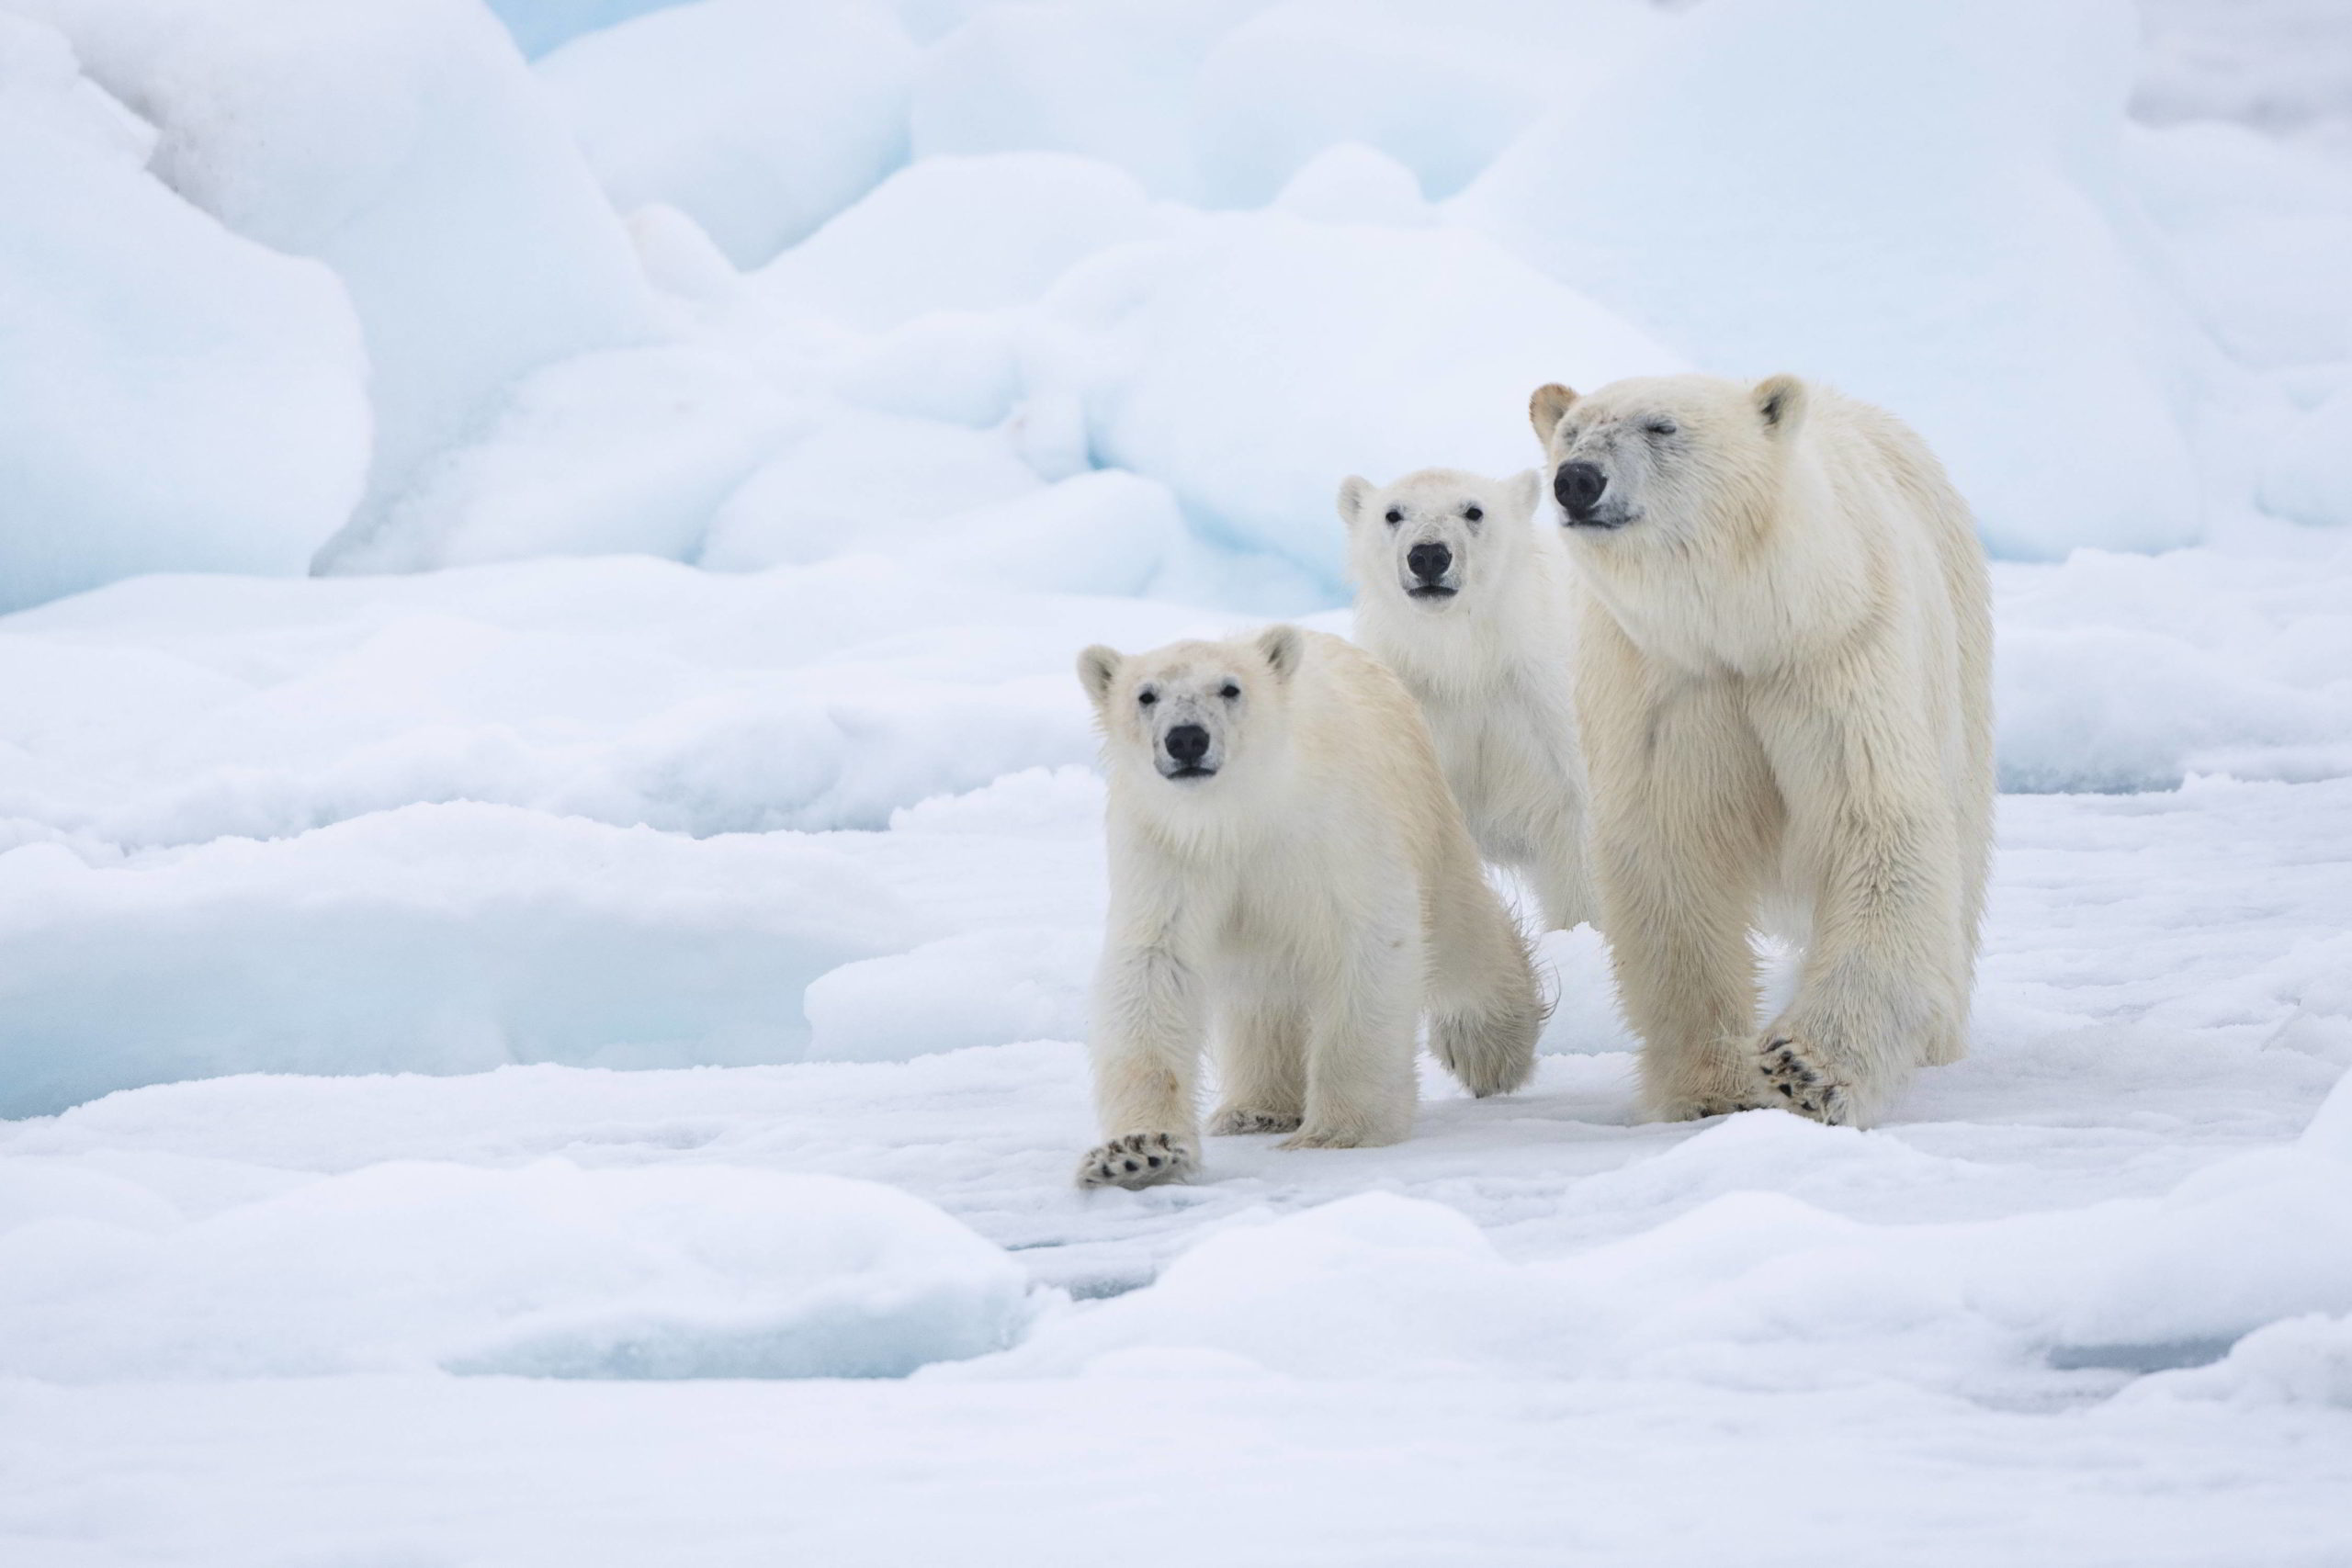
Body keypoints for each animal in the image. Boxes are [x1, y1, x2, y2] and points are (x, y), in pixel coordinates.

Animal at [1072, 625, 1543, 1189]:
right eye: (1146, 695)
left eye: (1230, 688)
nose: (1186, 738)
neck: (1238, 816)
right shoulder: (1169, 853)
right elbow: (1152, 970)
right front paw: (1137, 1154)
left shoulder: (1333, 833)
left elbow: (1370, 941)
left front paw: (1340, 1131)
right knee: (1262, 993)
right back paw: (1256, 1109)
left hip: (1425, 806)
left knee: (1458, 931)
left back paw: (1489, 1048)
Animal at [1345, 465, 1599, 931]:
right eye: (1392, 514)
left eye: (1474, 511)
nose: (1429, 555)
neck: (1464, 664)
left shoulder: (1544, 709)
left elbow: (1578, 828)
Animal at [1523, 376, 1984, 1128]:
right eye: (1571, 433)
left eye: (1661, 426)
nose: (1577, 480)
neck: (1750, 625)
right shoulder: (1666, 688)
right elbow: (1673, 855)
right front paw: (1714, 1086)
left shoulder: (1838, 657)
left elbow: (1878, 828)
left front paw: (1806, 1068)